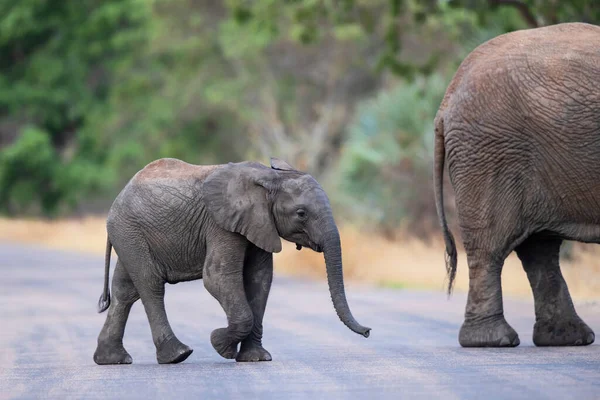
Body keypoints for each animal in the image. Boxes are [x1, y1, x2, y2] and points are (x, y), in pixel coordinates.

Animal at [92, 158, 370, 364]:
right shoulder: (221, 223)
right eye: (301, 214)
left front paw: (256, 359)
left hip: (129, 235)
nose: (368, 331)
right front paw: (219, 344)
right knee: (150, 285)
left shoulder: (259, 223)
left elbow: (260, 280)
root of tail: (119, 197)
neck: (269, 178)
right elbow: (217, 277)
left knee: (125, 291)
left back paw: (112, 360)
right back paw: (178, 355)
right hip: (130, 230)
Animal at [434, 22, 596, 346]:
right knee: (492, 245)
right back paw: (494, 340)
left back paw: (568, 338)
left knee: (540, 247)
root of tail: (448, 97)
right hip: (491, 153)